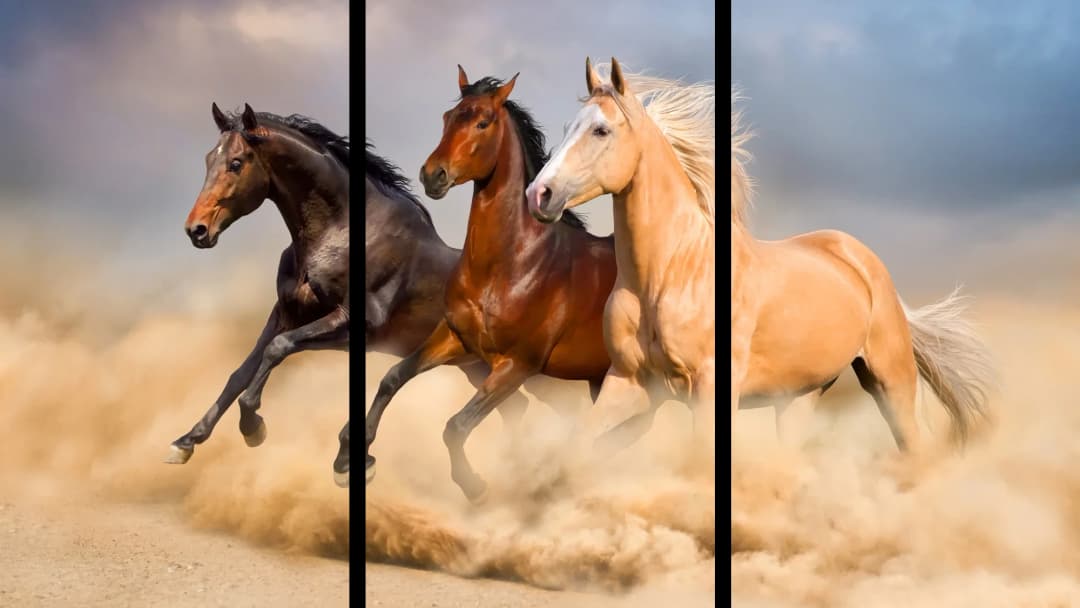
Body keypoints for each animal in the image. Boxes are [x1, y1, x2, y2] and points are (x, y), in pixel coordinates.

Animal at [165, 103, 351, 486]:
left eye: (236, 163)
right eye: (209, 159)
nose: (196, 230)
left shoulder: (343, 323)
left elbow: (275, 351)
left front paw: (253, 427)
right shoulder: (286, 313)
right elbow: (242, 371)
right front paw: (186, 441)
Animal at [364, 66, 618, 503]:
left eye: (482, 122)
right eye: (447, 118)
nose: (432, 175)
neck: (510, 267)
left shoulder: (516, 366)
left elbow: (456, 425)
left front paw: (475, 487)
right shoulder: (456, 339)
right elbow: (392, 378)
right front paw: (351, 461)